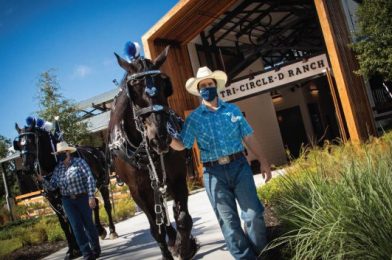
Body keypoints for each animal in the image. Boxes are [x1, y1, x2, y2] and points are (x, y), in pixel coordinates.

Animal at [13, 120, 118, 258]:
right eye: (18, 145)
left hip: (102, 184)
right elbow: (64, 223)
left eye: (31, 140)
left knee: (106, 205)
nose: (26, 168)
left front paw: (77, 249)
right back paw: (100, 230)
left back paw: (112, 231)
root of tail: (95, 150)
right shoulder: (53, 199)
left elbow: (70, 220)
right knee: (94, 203)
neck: (53, 164)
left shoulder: (63, 197)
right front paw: (71, 250)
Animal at [107, 47, 198, 260]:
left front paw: (184, 247)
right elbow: (156, 230)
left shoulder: (177, 177)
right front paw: (169, 251)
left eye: (165, 86)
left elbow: (183, 218)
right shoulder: (137, 191)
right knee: (161, 218)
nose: (160, 138)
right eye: (134, 89)